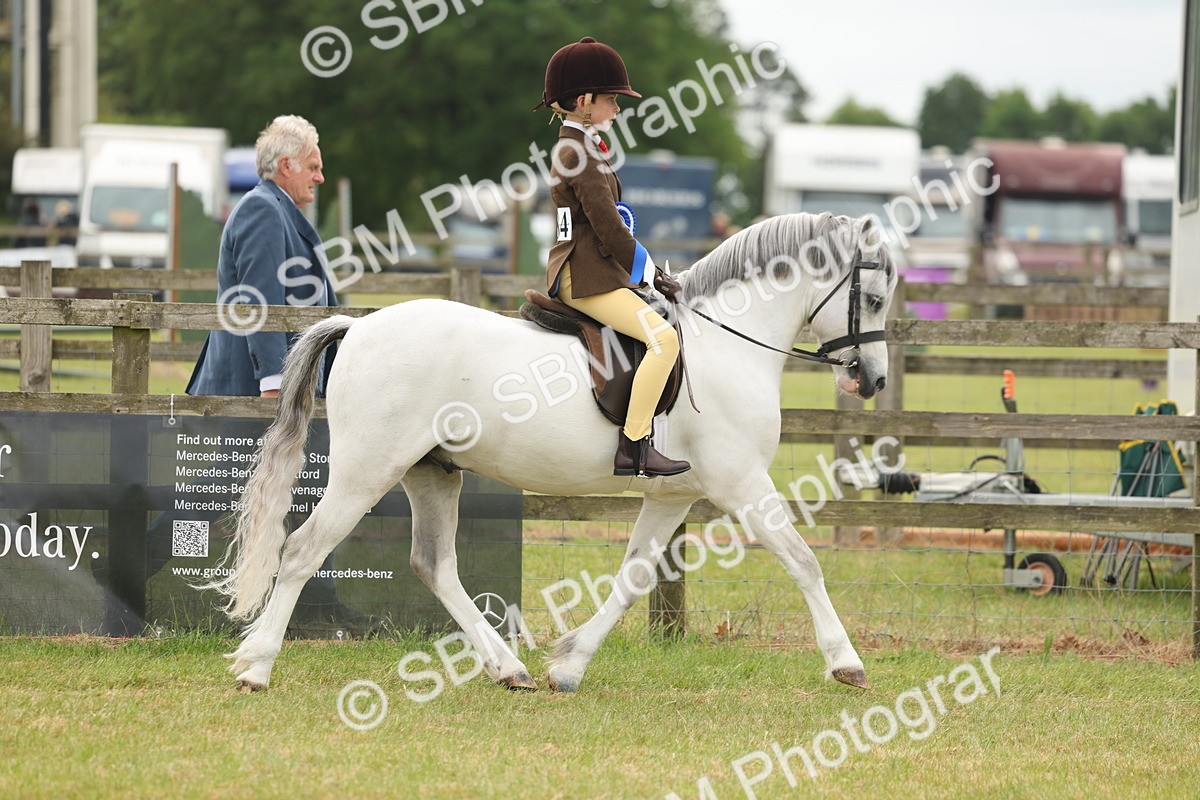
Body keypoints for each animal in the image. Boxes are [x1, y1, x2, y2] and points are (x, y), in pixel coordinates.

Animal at [202, 211, 898, 692]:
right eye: (877, 298)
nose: (873, 381)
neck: (728, 345)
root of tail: (360, 324)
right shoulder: (742, 483)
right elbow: (804, 561)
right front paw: (846, 663)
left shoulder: (673, 494)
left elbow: (634, 577)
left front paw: (569, 665)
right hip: (365, 471)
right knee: (301, 550)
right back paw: (256, 667)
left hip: (432, 473)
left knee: (434, 564)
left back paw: (508, 668)